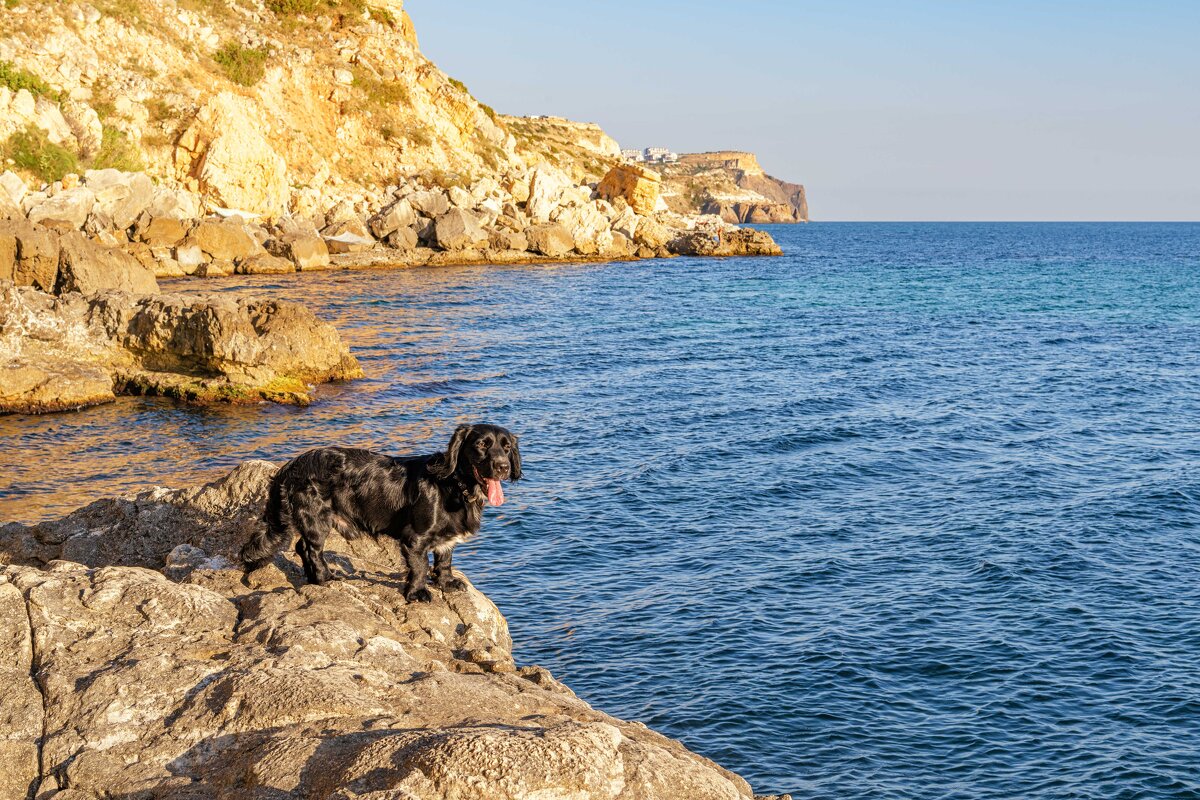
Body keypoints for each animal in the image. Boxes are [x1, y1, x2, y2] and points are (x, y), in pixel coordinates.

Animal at [242, 424, 520, 599]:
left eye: (506, 447)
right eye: (482, 445)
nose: (503, 467)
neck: (455, 486)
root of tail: (290, 466)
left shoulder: (445, 540)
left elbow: (444, 560)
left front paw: (446, 583)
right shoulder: (414, 539)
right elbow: (420, 567)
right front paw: (417, 593)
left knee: (302, 547)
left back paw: (315, 577)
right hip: (317, 518)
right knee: (311, 549)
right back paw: (324, 578)